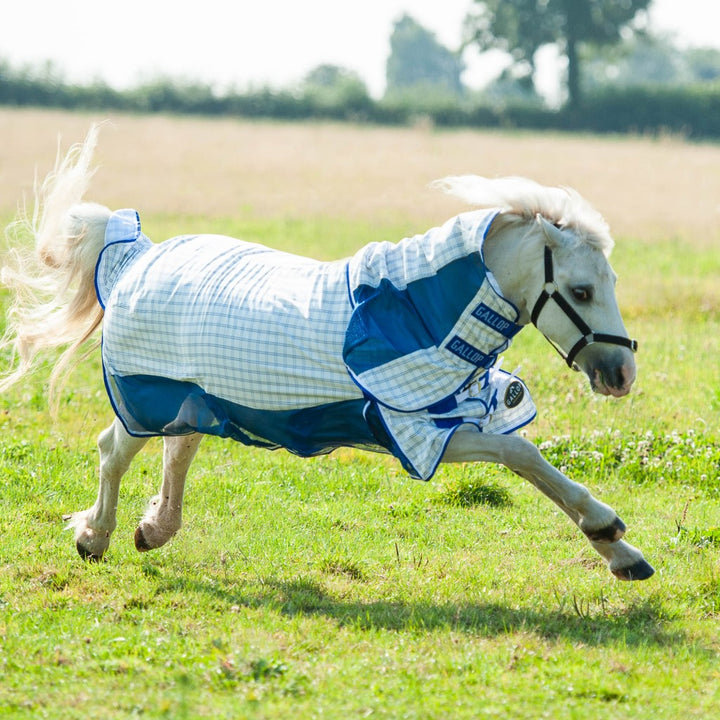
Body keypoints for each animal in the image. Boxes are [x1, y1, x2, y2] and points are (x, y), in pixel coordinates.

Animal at [0, 126, 652, 584]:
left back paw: (153, 529)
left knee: (177, 449)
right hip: (147, 392)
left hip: (196, 396)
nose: (621, 374)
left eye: (612, 282)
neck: (417, 311)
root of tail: (140, 254)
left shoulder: (455, 417)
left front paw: (622, 554)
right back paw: (96, 536)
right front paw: (610, 530)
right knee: (114, 450)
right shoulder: (418, 432)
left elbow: (528, 458)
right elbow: (524, 455)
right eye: (581, 291)